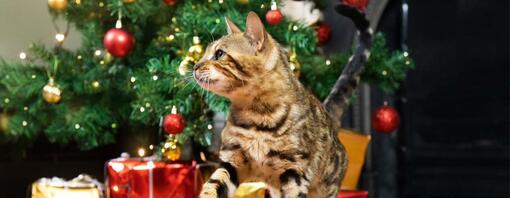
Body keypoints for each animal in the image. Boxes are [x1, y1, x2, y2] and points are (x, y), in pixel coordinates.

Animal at [193, 7, 372, 198]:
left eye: (219, 54)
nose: (195, 66)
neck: (257, 115)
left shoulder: (295, 170)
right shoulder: (232, 160)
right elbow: (212, 186)